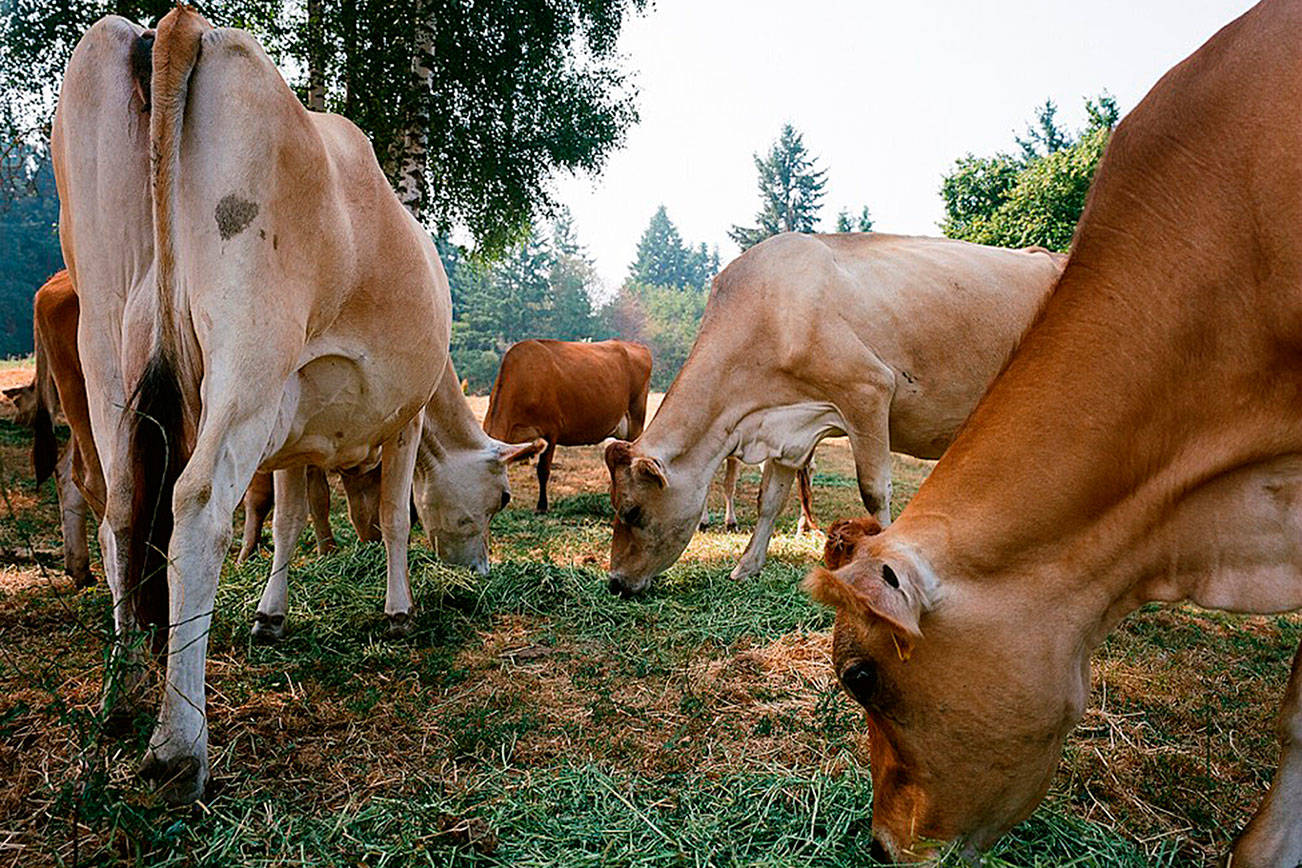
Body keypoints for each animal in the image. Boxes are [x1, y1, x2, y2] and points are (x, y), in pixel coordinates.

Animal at [54, 8, 447, 806]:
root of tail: (181, 24)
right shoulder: (408, 415)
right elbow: (396, 517)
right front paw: (397, 611)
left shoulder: (293, 430)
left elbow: (292, 518)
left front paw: (270, 616)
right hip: (249, 343)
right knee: (197, 503)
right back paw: (178, 747)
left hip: (105, 341)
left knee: (122, 509)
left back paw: (119, 700)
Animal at [604, 232, 1062, 598]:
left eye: (632, 512)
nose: (615, 582)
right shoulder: (788, 427)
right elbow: (769, 499)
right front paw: (747, 566)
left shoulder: (868, 390)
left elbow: (874, 492)